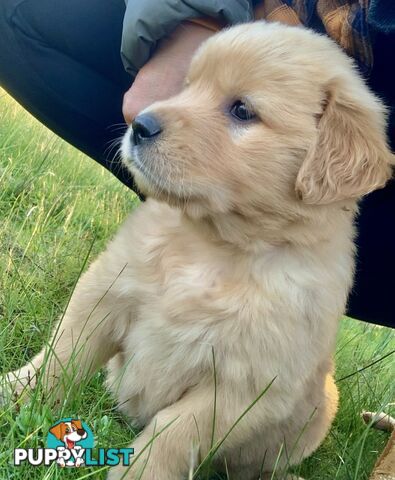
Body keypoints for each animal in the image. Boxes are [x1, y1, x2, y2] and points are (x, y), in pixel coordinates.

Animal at [1, 20, 394, 478]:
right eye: (187, 87)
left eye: (242, 110)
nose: (140, 125)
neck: (218, 245)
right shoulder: (105, 291)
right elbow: (63, 354)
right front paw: (16, 393)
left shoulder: (242, 385)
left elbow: (174, 433)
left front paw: (139, 473)